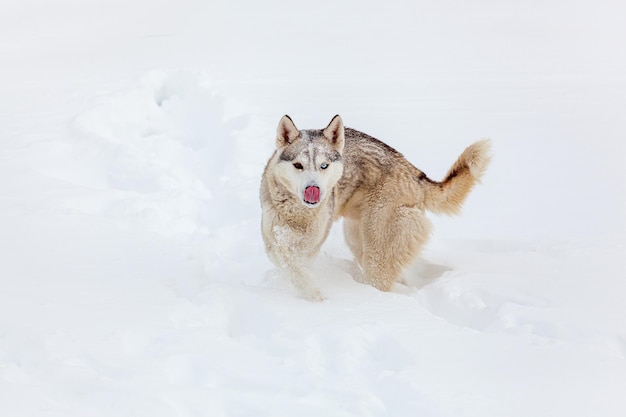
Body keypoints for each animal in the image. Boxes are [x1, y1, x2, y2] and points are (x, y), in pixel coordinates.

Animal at [258, 115, 488, 300]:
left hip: (376, 248)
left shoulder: (311, 244)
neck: (298, 214)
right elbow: (285, 259)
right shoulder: (273, 238)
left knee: (381, 280)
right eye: (298, 165)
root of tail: (414, 173)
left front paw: (315, 298)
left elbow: (297, 267)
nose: (313, 189)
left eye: (324, 166)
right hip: (357, 238)